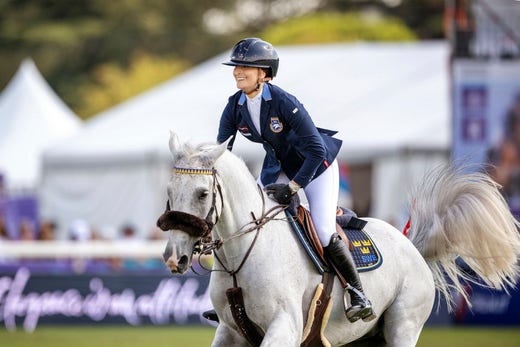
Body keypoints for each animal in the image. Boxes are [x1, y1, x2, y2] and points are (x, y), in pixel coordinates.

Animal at [160, 132, 520, 346]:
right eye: (169, 191)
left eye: (202, 193)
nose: (174, 258)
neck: (242, 256)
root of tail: (412, 247)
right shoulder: (230, 331)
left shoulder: (284, 326)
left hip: (402, 326)